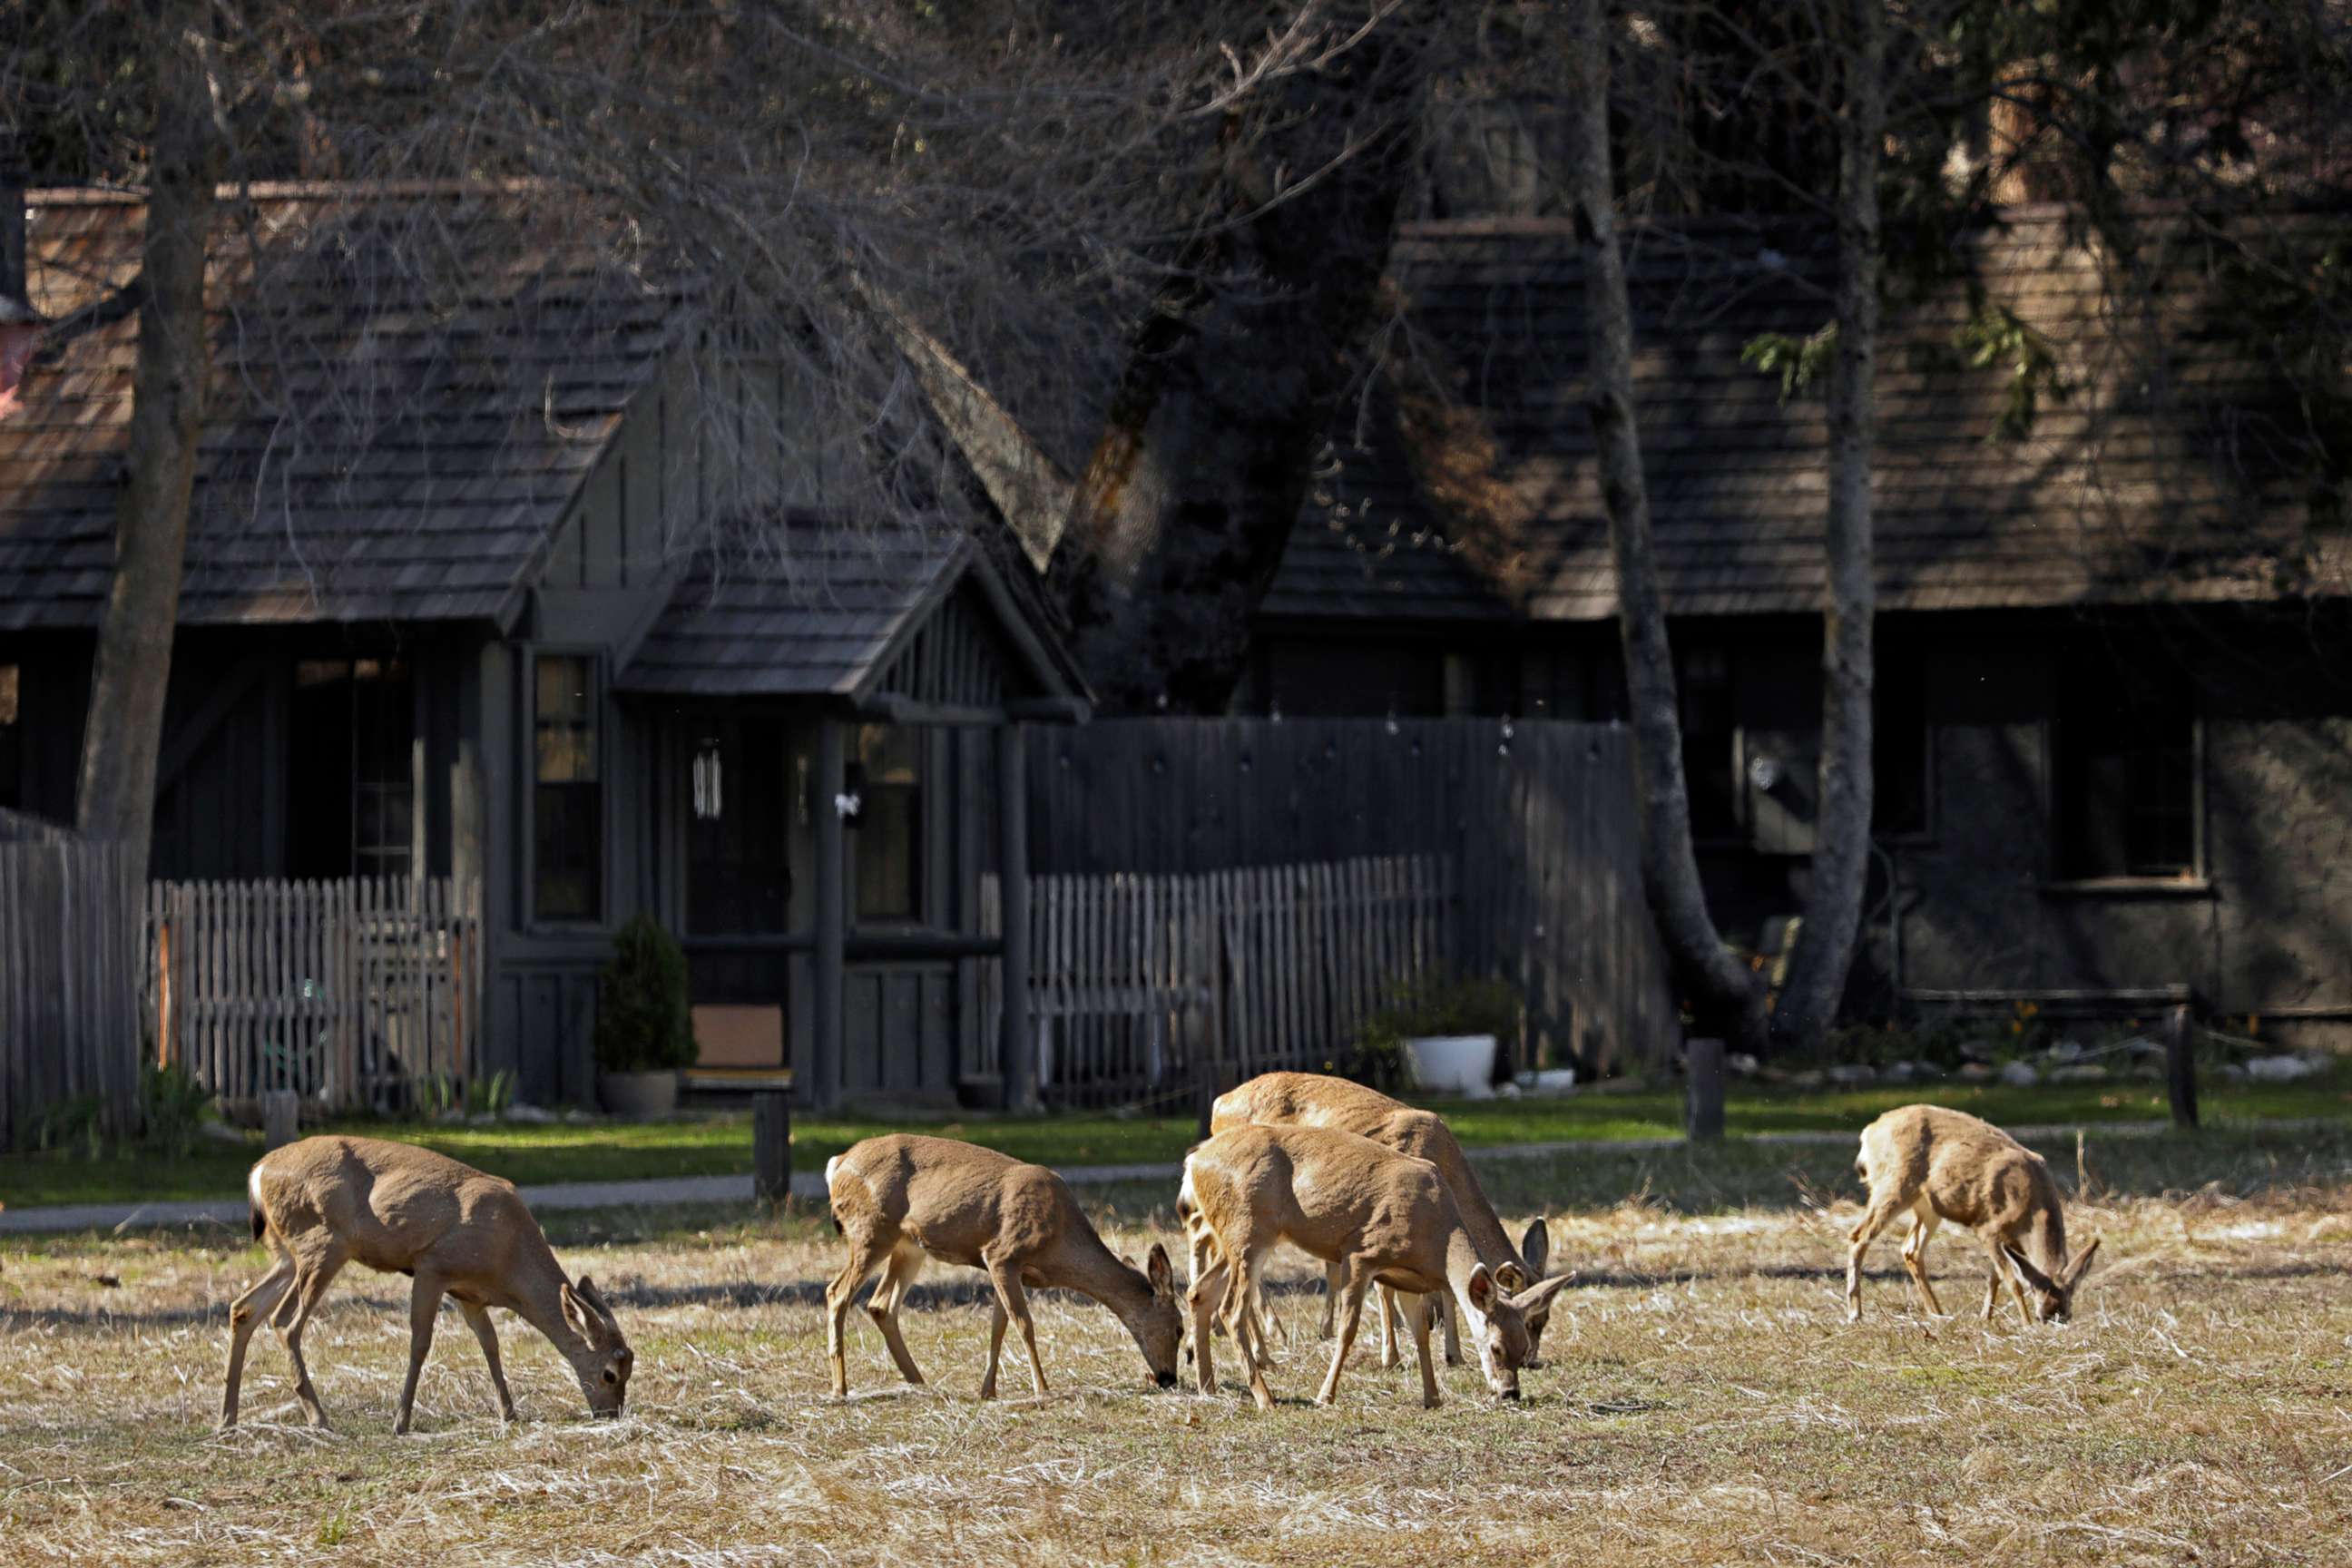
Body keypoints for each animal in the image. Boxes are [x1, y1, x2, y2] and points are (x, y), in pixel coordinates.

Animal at [220, 1142, 634, 1438]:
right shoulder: (432, 1265)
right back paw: (318, 1419)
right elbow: (420, 1343)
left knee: (243, 1308)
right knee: (285, 1321)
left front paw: (510, 1413)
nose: (611, 1415)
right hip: (321, 1243)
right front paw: (401, 1422)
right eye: (609, 1374)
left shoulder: (469, 1294)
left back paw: (228, 1420)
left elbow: (491, 1344)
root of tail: (258, 1173)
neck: (507, 1260)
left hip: (286, 1252)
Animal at [828, 1132, 1194, 1401]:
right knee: (837, 1293)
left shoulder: (1008, 1270)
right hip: (871, 1230)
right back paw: (841, 1388)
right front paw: (1043, 1389)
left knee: (880, 1305)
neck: (1058, 1243)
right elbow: (1024, 1324)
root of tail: (838, 1163)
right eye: (1179, 1327)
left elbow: (998, 1327)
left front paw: (987, 1391)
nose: (1168, 1378)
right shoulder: (1001, 1254)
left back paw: (920, 1382)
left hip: (908, 1246)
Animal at [1171, 1128, 1562, 1410]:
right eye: (1495, 1347)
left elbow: (1420, 1332)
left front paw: (1432, 1398)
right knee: (1231, 1309)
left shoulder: (1410, 1279)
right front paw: (1325, 1396)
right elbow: (1349, 1328)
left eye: (1523, 1346)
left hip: (1237, 1237)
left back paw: (1208, 1387)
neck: (1436, 1235)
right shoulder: (1360, 1252)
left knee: (1199, 1292)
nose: (1510, 1393)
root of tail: (1194, 1162)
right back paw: (1265, 1399)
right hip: (1249, 1230)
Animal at [1213, 1072, 1562, 1363]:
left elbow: (1446, 1284)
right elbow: (1385, 1288)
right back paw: (1267, 1343)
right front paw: (1390, 1356)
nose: (1529, 1360)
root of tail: (1219, 1104)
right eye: (1531, 1320)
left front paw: (1454, 1355)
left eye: (1544, 1319)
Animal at [1844, 1104, 2107, 1326]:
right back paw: (1855, 1313)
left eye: (2068, 1306)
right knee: (1859, 1236)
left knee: (1911, 1249)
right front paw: (2026, 1323)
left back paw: (1937, 1313)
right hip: (1893, 1186)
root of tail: (1869, 1131)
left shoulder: (2008, 1240)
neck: (2031, 1211)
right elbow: (2012, 1280)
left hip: (1929, 1206)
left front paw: (1985, 1317)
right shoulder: (1987, 1227)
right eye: (2037, 1294)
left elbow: (1996, 1277)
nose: (2050, 1318)